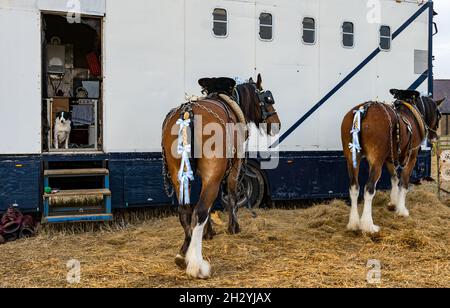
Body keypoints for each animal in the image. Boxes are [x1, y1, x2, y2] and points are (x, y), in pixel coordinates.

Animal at [162, 75, 282, 280]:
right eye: (268, 99)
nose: (277, 124)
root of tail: (187, 113)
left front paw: (208, 232)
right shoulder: (234, 167)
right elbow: (232, 195)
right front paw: (233, 227)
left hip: (180, 175)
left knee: (185, 211)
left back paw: (183, 253)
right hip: (215, 173)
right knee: (200, 211)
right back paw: (196, 265)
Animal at [342, 89, 444, 233]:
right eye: (439, 115)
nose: (435, 137)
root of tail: (362, 111)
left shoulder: (389, 159)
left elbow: (394, 179)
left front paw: (393, 202)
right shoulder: (411, 157)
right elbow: (404, 183)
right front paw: (401, 210)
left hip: (351, 158)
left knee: (354, 188)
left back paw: (353, 223)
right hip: (376, 162)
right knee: (369, 189)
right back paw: (368, 225)